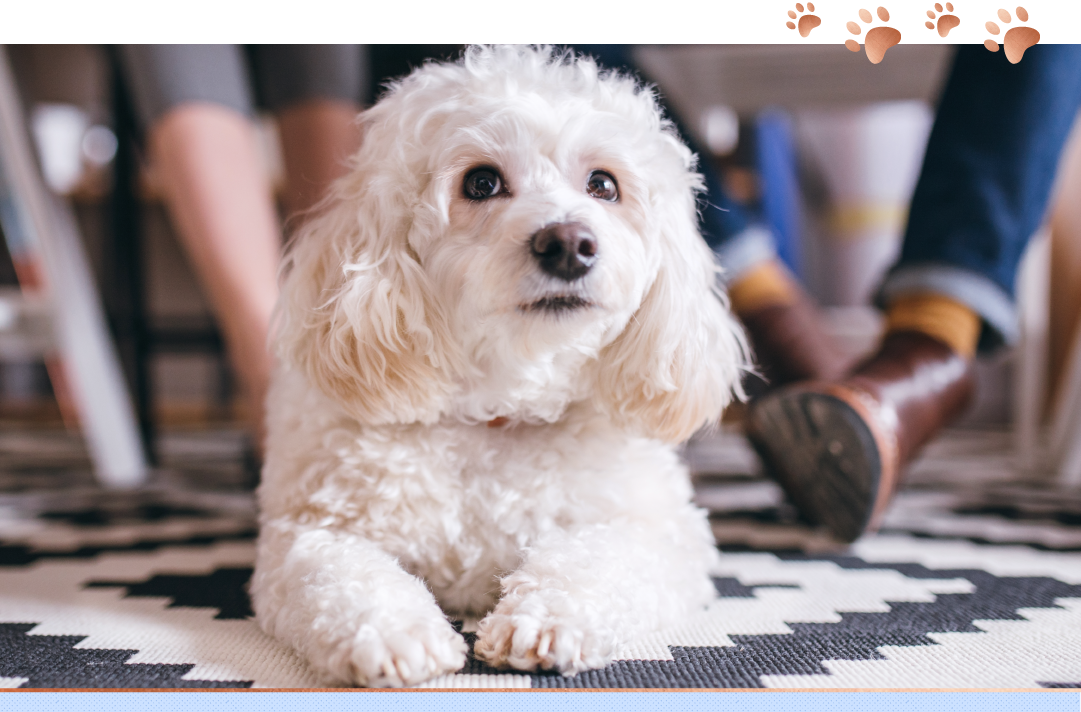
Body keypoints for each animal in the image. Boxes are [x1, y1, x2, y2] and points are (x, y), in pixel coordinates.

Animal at [249, 45, 748, 691]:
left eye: (603, 184)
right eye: (481, 182)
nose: (569, 243)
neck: (501, 407)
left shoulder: (661, 532)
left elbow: (598, 560)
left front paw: (547, 619)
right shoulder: (308, 532)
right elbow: (340, 575)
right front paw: (392, 632)